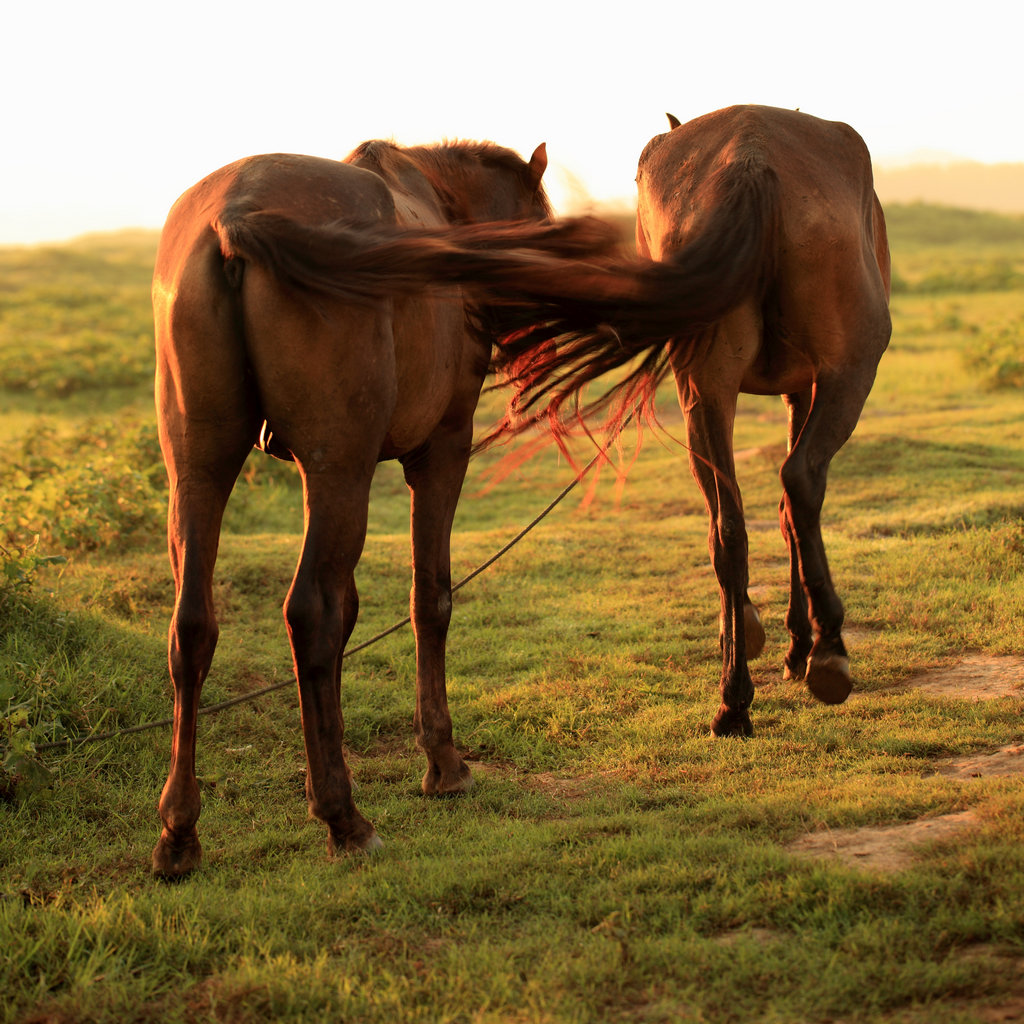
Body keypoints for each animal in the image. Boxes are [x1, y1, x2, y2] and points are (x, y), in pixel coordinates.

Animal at [150, 136, 622, 876]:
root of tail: (236, 215)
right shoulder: (442, 450)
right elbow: (429, 599)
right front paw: (442, 762)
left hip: (199, 465)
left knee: (193, 627)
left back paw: (180, 832)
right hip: (336, 468)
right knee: (311, 613)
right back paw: (344, 819)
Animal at [491, 105, 892, 737]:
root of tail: (752, 159)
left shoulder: (788, 389)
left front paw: (755, 633)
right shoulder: (809, 385)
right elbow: (793, 513)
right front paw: (795, 645)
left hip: (703, 389)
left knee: (727, 527)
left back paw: (733, 700)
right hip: (848, 371)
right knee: (797, 483)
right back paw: (827, 652)